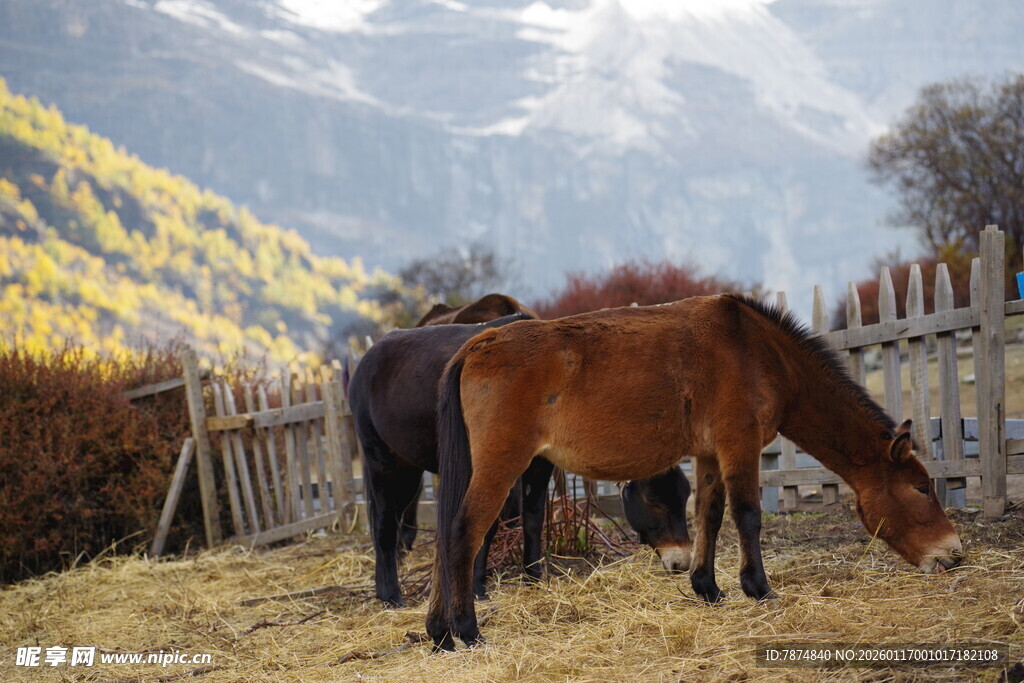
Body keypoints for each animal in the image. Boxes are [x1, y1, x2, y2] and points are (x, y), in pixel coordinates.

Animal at [348, 313, 692, 607]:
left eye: (685, 496)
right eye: (654, 501)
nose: (680, 563)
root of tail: (367, 359)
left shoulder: (539, 464)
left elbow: (533, 519)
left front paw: (532, 577)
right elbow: (486, 525)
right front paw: (478, 588)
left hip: (408, 466)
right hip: (381, 460)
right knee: (383, 524)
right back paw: (391, 596)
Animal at [426, 294, 964, 650]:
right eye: (921, 488)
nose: (954, 554)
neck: (759, 350)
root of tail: (479, 343)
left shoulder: (708, 454)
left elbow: (709, 513)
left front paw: (708, 587)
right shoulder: (738, 444)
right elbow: (747, 515)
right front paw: (759, 588)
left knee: (446, 536)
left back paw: (439, 632)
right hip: (503, 463)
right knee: (463, 531)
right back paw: (468, 631)